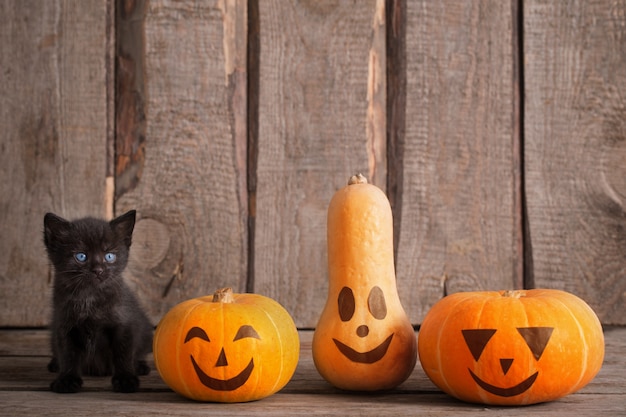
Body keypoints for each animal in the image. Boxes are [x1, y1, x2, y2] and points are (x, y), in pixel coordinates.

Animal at [43, 210, 152, 392]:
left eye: (109, 256)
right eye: (81, 256)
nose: (98, 270)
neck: (89, 297)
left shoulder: (123, 323)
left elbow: (123, 352)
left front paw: (126, 379)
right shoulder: (65, 325)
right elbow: (68, 354)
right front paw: (67, 379)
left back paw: (140, 366)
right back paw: (55, 364)